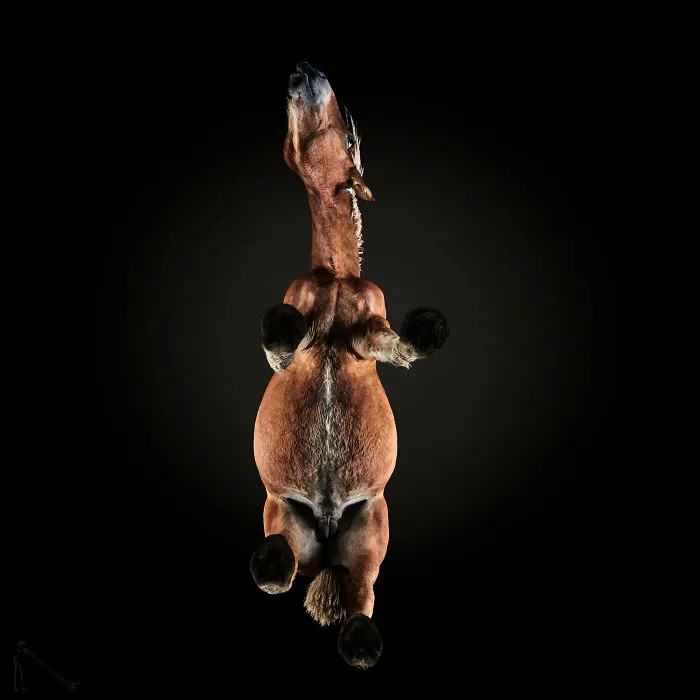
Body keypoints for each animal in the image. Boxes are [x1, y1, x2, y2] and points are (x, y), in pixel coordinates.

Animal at [250, 62, 450, 669]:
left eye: (352, 137)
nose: (304, 70)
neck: (336, 276)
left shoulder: (371, 334)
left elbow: (399, 345)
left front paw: (429, 329)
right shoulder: (290, 347)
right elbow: (281, 341)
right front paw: (284, 326)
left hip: (372, 530)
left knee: (361, 593)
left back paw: (360, 639)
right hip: (281, 511)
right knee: (281, 571)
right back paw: (272, 560)